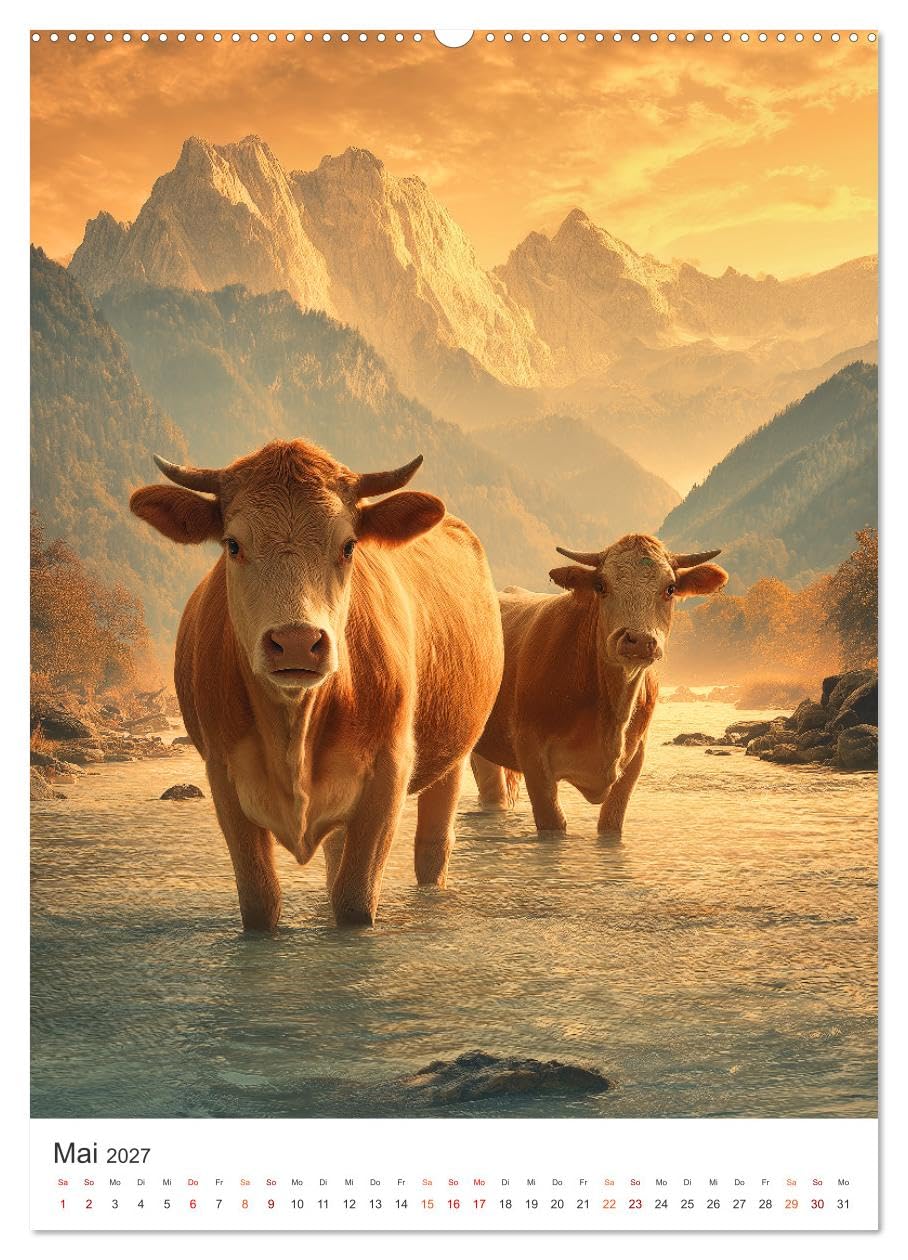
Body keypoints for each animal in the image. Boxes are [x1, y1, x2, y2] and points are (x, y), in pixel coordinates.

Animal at [130, 439, 504, 930]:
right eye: (233, 544)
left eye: (348, 546)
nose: (295, 642)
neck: (294, 729)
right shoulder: (223, 774)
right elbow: (260, 902)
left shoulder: (388, 771)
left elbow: (355, 901)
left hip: (454, 757)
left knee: (432, 848)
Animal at [471, 534, 727, 835]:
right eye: (601, 586)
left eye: (671, 588)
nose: (638, 640)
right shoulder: (532, 754)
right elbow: (553, 824)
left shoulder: (634, 758)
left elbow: (611, 821)